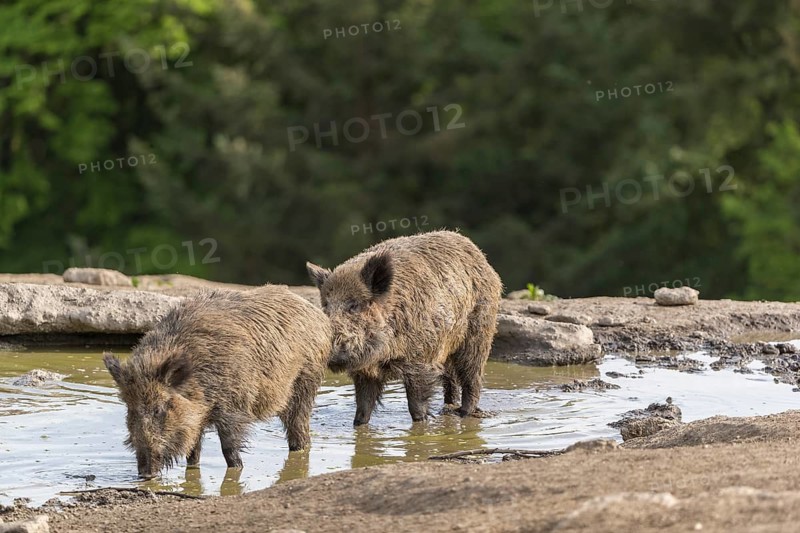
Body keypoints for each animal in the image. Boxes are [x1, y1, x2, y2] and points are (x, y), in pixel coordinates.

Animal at [103, 285, 331, 479]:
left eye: (159, 409)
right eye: (130, 410)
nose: (145, 474)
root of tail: (319, 317)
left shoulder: (234, 408)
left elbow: (228, 448)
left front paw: (237, 468)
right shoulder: (197, 418)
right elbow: (193, 451)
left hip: (305, 381)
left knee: (299, 429)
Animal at [306, 230, 502, 425]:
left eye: (354, 305)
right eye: (325, 305)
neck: (384, 355)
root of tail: (478, 253)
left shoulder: (420, 361)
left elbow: (416, 407)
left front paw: (422, 423)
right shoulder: (366, 373)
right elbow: (363, 408)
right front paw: (358, 424)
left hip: (479, 333)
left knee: (472, 376)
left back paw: (463, 413)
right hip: (448, 347)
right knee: (451, 378)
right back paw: (447, 409)